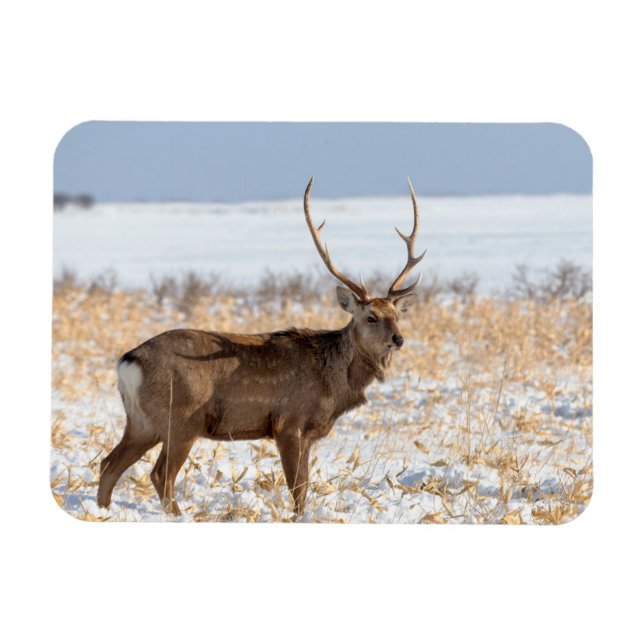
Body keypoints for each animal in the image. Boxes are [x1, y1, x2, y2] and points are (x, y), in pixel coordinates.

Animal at [97, 177, 426, 517]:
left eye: (397, 315)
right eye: (371, 317)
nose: (398, 339)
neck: (334, 383)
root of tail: (127, 362)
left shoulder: (308, 433)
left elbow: (304, 486)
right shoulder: (289, 422)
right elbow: (298, 489)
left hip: (142, 421)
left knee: (108, 464)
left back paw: (103, 512)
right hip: (181, 417)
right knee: (160, 474)